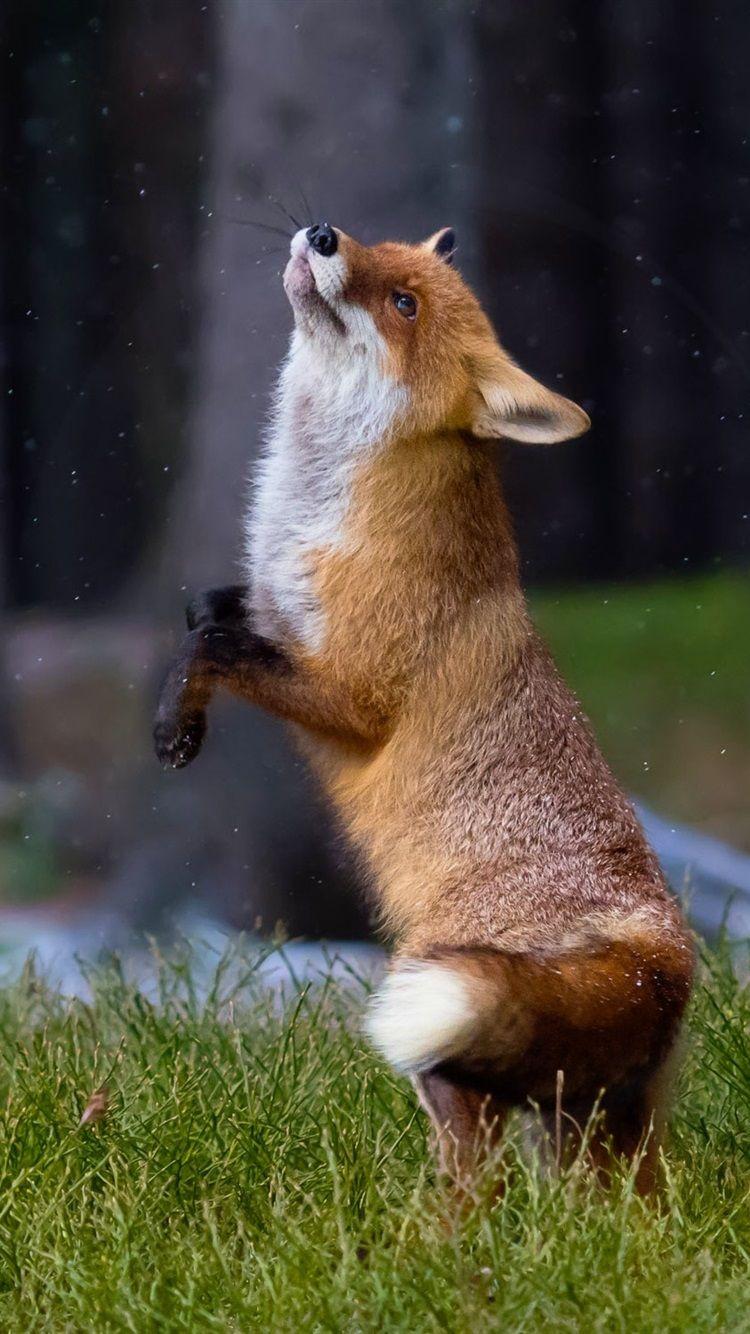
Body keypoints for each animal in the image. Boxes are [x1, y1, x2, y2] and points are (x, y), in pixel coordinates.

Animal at [154, 219, 694, 1194]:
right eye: (376, 247)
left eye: (405, 303)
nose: (322, 232)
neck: (319, 512)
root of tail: (663, 950)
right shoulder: (277, 618)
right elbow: (210, 612)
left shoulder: (354, 696)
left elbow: (210, 643)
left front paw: (173, 726)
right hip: (593, 1118)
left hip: (438, 996)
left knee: (471, 1153)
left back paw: (423, 1232)